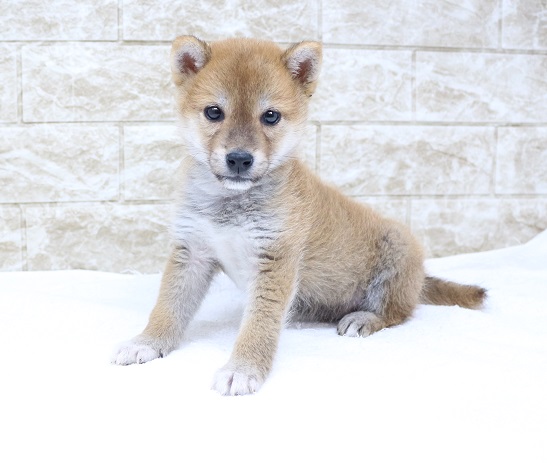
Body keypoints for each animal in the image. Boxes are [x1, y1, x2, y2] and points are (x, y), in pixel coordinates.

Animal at [112, 38, 488, 396]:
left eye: (270, 116)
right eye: (214, 112)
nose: (239, 159)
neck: (231, 203)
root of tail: (421, 277)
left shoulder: (275, 258)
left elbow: (259, 324)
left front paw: (243, 369)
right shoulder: (191, 252)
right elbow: (169, 306)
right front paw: (148, 342)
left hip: (396, 256)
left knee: (399, 312)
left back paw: (363, 319)